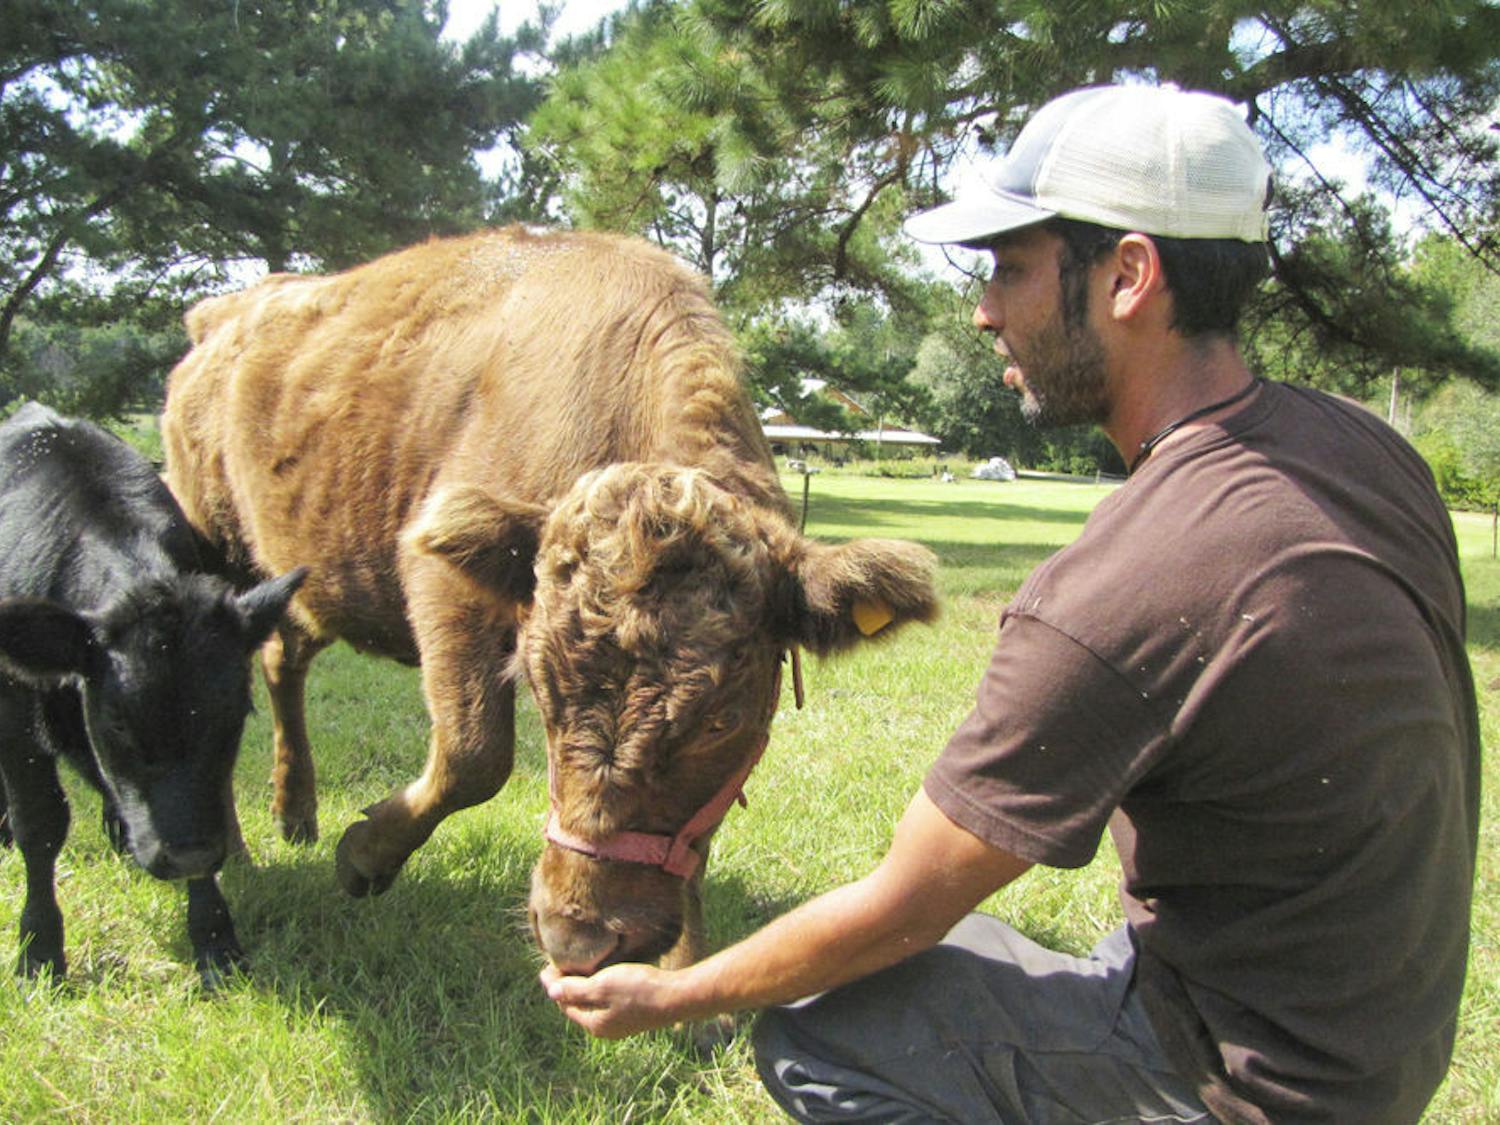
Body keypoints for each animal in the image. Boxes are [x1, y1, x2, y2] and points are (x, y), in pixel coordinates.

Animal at [0, 403, 304, 986]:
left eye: (236, 714)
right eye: (117, 720)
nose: (185, 856)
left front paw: (215, 940)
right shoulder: (17, 719)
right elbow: (42, 825)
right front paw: (39, 950)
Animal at [161, 226, 938, 976]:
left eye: (724, 719)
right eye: (541, 691)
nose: (577, 938)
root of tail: (220, 314)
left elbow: (695, 842)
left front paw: (683, 974)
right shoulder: (447, 591)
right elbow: (474, 754)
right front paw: (362, 857)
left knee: (280, 659)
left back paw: (294, 815)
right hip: (214, 549)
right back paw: (236, 847)